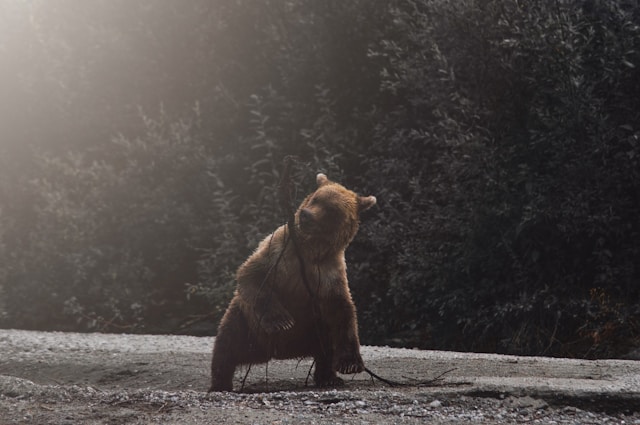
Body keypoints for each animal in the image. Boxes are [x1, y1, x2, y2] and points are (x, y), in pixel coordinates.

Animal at [209, 173, 376, 392]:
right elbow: (251, 274)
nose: (306, 215)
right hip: (246, 322)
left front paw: (350, 364)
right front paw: (282, 321)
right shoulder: (278, 252)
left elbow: (342, 311)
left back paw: (328, 377)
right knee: (226, 344)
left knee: (326, 347)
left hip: (314, 328)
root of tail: (275, 353)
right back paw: (220, 383)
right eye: (315, 198)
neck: (310, 249)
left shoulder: (329, 272)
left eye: (331, 209)